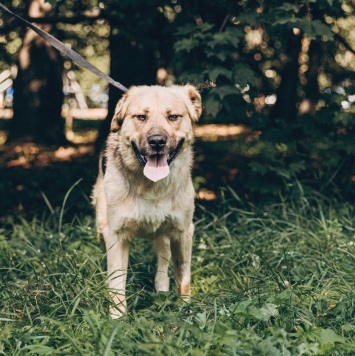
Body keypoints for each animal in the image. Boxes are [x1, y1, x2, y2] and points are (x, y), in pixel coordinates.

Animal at [92, 85, 203, 318]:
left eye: (173, 117)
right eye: (141, 117)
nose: (157, 141)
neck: (153, 186)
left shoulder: (183, 232)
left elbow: (183, 277)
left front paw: (185, 309)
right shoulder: (115, 235)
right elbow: (117, 282)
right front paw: (117, 319)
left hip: (164, 235)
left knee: (162, 266)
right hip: (101, 226)